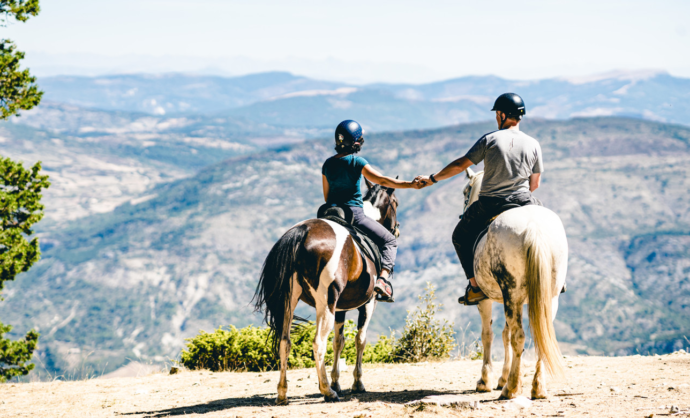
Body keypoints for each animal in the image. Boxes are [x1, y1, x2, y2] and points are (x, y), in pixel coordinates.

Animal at [253, 180, 396, 404]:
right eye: (395, 203)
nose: (396, 231)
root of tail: (301, 232)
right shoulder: (368, 303)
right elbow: (360, 339)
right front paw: (356, 383)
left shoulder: (340, 308)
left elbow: (339, 341)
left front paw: (337, 381)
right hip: (325, 303)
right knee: (318, 343)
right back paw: (327, 391)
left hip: (289, 301)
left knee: (285, 342)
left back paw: (283, 393)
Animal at [462, 167, 564, 398]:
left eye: (465, 192)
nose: (462, 213)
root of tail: (533, 227)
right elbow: (504, 334)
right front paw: (502, 377)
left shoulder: (485, 299)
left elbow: (488, 334)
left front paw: (486, 380)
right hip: (546, 297)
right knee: (541, 335)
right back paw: (537, 387)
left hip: (512, 294)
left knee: (519, 336)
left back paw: (511, 389)